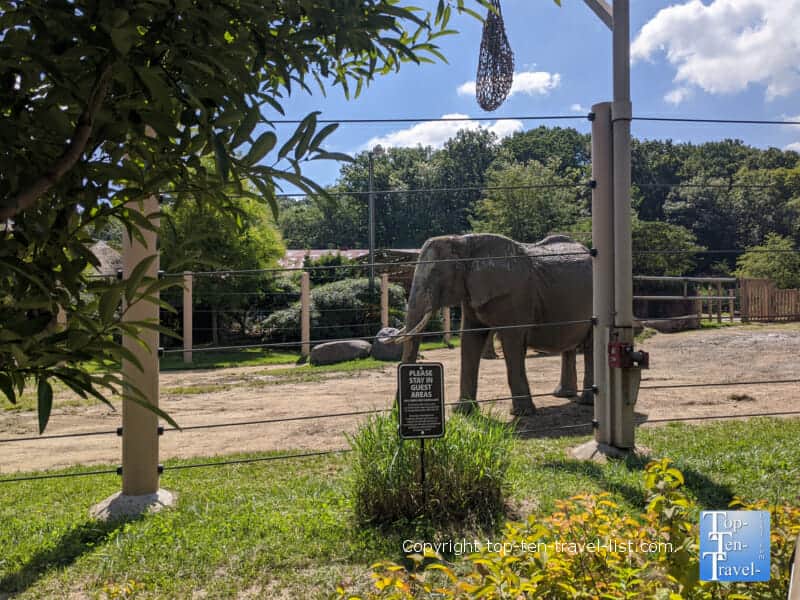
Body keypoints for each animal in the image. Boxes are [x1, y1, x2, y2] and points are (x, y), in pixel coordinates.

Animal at [394, 233, 593, 416]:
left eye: (436, 273)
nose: (393, 416)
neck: (465, 243)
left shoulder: (514, 295)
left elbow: (512, 342)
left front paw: (522, 413)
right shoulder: (471, 292)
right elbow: (470, 338)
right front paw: (463, 411)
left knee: (590, 346)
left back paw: (586, 402)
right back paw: (563, 395)